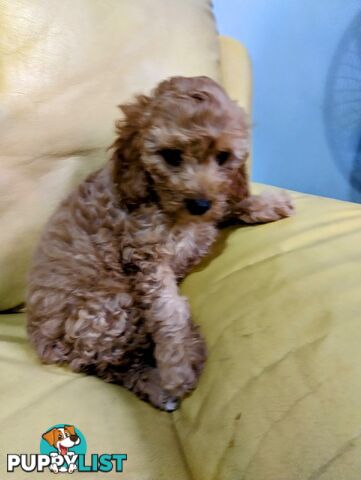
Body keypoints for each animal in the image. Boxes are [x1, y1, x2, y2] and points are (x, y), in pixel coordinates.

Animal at [27, 77, 292, 410]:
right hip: (110, 308)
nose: (200, 204)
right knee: (117, 367)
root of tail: (42, 343)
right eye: (172, 156)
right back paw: (166, 380)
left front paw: (267, 203)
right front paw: (178, 367)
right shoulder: (146, 256)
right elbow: (169, 310)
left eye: (223, 157)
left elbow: (227, 203)